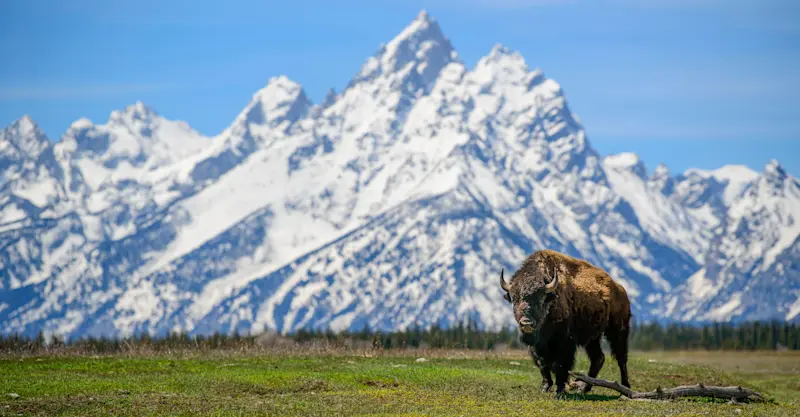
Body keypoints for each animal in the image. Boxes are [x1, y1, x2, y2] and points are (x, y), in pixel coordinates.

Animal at [499, 249, 632, 397]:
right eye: (514, 298)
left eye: (541, 298)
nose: (526, 323)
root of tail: (620, 289)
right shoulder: (537, 345)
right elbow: (542, 363)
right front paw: (545, 387)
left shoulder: (564, 341)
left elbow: (560, 365)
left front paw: (560, 391)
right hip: (592, 338)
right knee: (598, 358)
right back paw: (584, 388)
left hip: (618, 330)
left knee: (621, 358)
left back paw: (625, 388)